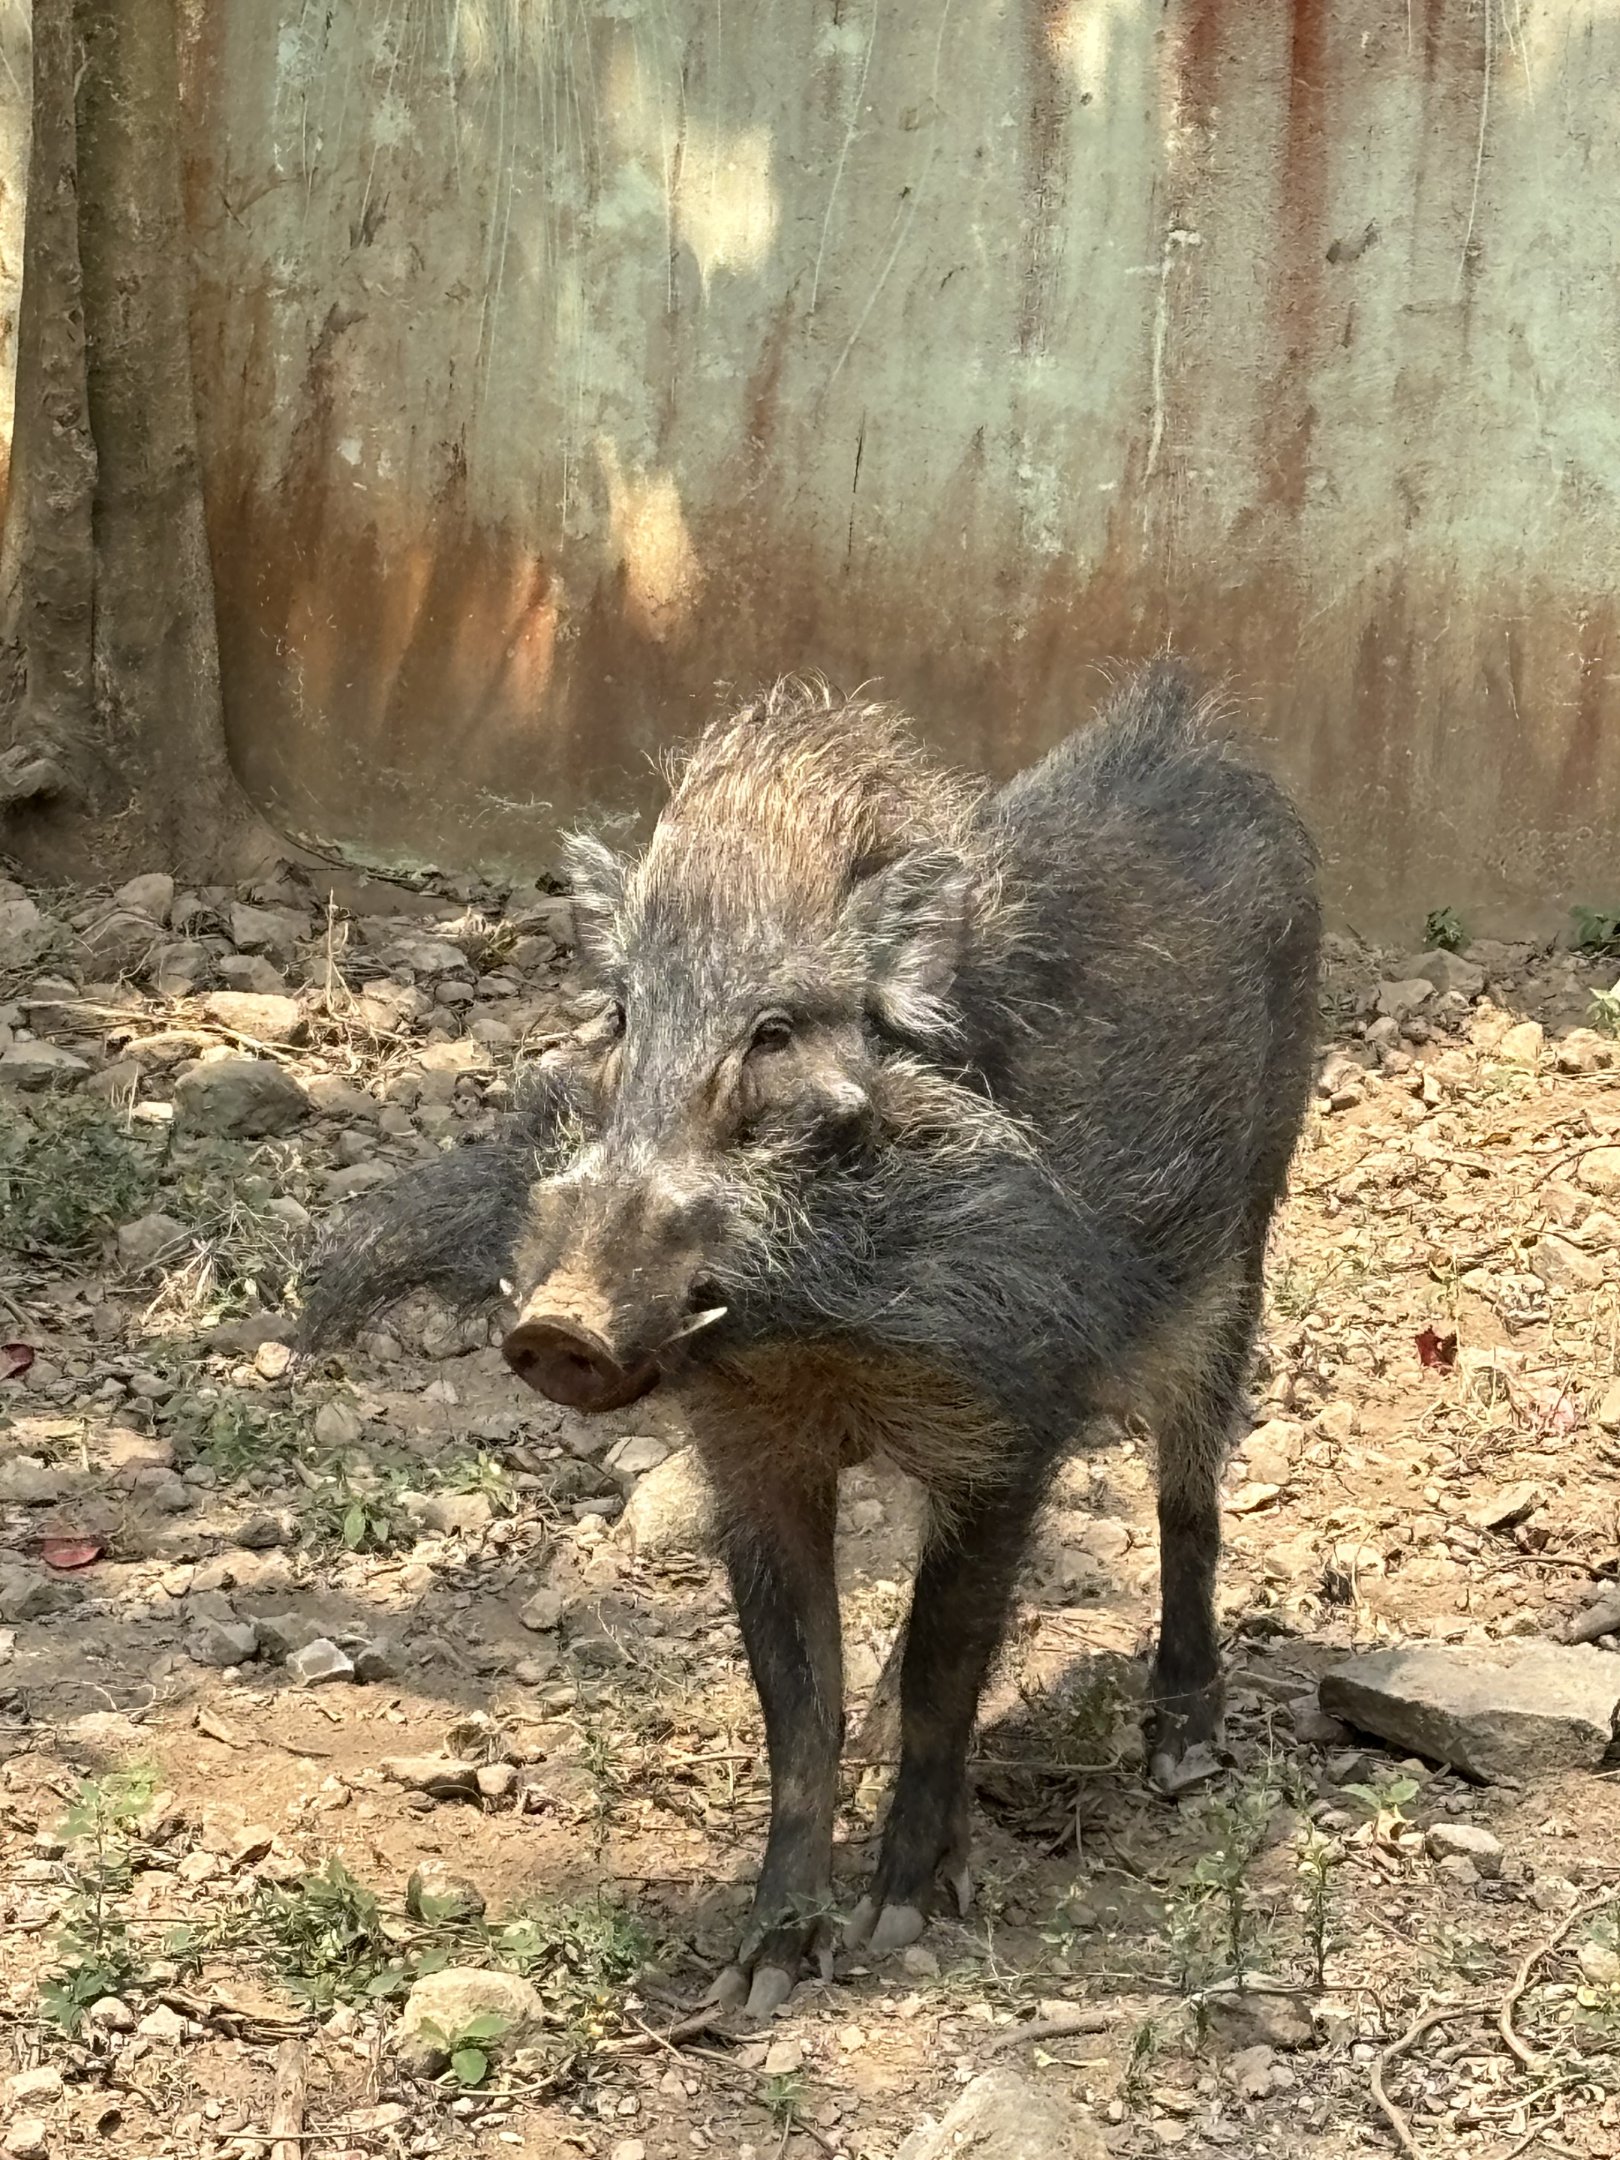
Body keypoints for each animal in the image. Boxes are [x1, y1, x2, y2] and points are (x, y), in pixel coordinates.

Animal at [299, 661, 1319, 2016]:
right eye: (618, 1017)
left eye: (774, 1034)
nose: (560, 1328)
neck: (818, 1342)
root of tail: (1198, 736)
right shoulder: (753, 1454)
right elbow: (800, 1701)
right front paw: (764, 1971)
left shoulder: (1003, 1429)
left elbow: (944, 1662)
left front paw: (898, 1920)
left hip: (1240, 1255)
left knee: (1189, 1500)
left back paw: (1183, 1753)